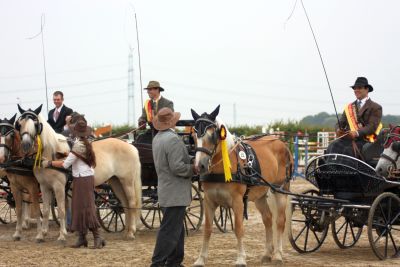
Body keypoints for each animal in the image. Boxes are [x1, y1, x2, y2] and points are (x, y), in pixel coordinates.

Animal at [16, 105, 142, 244]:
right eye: (20, 124)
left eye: (35, 123)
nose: (26, 145)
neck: (52, 152)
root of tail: (130, 146)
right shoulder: (44, 186)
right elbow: (45, 210)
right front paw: (41, 235)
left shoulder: (59, 186)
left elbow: (61, 210)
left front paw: (62, 235)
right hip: (116, 181)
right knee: (124, 204)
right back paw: (127, 231)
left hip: (127, 181)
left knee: (132, 203)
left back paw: (131, 232)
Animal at [192, 105, 292, 266]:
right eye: (194, 136)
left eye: (212, 135)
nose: (199, 166)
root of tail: (280, 142)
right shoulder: (208, 201)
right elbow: (207, 229)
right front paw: (201, 259)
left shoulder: (237, 201)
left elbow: (239, 228)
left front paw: (240, 259)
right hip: (260, 195)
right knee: (268, 219)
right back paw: (267, 253)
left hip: (280, 190)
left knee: (280, 221)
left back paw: (278, 255)